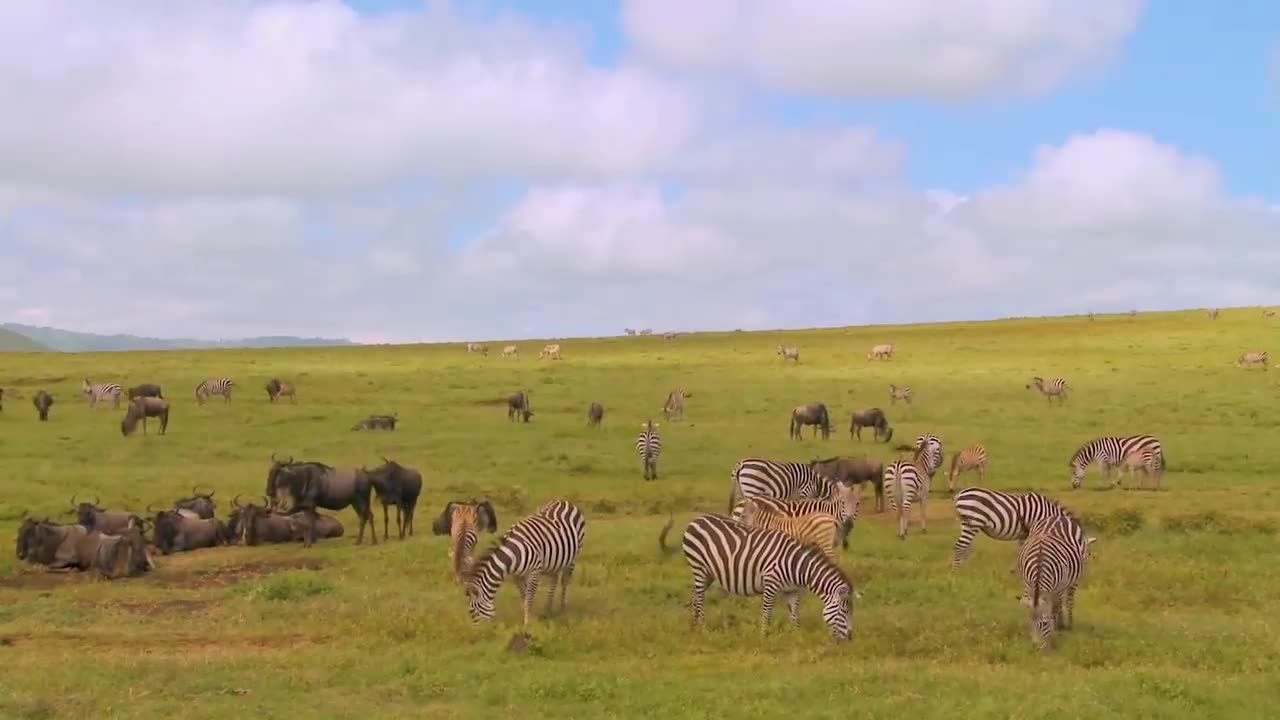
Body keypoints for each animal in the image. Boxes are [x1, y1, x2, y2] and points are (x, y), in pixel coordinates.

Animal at [463, 497, 586, 625]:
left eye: (472, 611)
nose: (477, 628)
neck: (512, 555)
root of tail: (563, 501)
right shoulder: (517, 576)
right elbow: (524, 597)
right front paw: (528, 617)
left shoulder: (534, 573)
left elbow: (529, 598)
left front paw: (527, 623)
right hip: (553, 561)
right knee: (554, 580)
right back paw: (547, 610)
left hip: (573, 556)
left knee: (565, 581)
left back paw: (562, 609)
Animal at [665, 509, 855, 638]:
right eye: (845, 611)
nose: (851, 638)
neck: (798, 566)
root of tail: (696, 520)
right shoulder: (771, 582)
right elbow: (767, 611)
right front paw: (764, 635)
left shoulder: (792, 590)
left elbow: (795, 613)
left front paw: (797, 635)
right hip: (699, 566)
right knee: (699, 596)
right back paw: (703, 628)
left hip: (708, 573)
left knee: (695, 593)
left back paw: (693, 624)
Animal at [947, 484, 1075, 568]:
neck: (1047, 515)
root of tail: (958, 495)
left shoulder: (1024, 534)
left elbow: (1020, 551)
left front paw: (1016, 571)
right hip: (973, 522)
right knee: (960, 546)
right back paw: (957, 572)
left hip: (968, 524)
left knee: (965, 547)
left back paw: (967, 569)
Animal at [1013, 509, 1095, 650]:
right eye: (1029, 622)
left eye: (1044, 624)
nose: (1035, 648)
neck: (1039, 565)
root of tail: (1058, 517)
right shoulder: (1027, 584)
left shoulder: (1059, 586)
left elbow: (1056, 608)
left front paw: (1055, 629)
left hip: (1073, 580)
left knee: (1067, 602)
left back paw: (1067, 624)